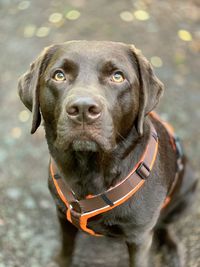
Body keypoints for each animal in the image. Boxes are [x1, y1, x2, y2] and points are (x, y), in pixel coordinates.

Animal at [18, 40, 198, 267]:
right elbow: (67, 249)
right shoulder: (63, 215)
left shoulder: (139, 236)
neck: (90, 171)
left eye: (117, 76)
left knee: (165, 224)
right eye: (59, 75)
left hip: (189, 189)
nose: (83, 108)